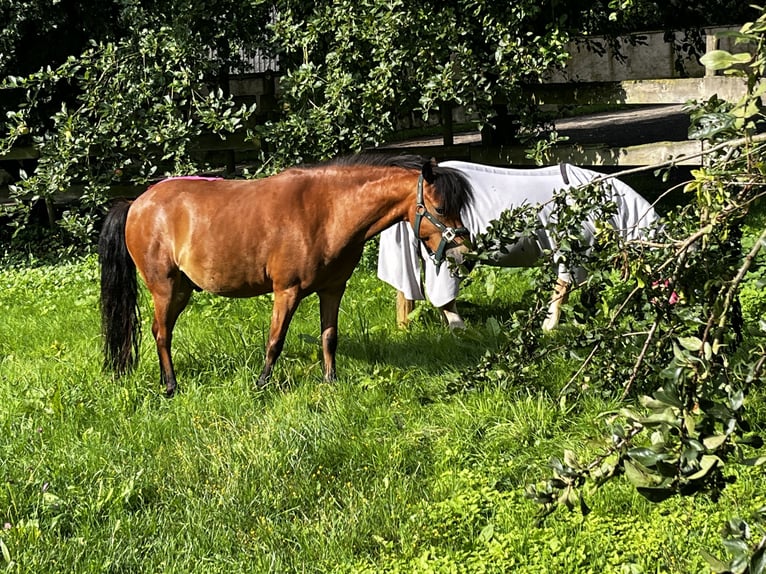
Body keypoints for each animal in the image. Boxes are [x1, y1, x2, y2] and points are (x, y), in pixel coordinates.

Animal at [99, 154, 473, 396]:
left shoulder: (333, 289)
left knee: (161, 331)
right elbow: (275, 340)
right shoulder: (287, 291)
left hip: (182, 289)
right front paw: (261, 385)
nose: (464, 257)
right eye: (440, 208)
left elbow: (329, 336)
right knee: (161, 333)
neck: (327, 211)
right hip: (164, 288)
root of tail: (136, 203)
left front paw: (330, 381)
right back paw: (171, 385)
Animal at [377, 161, 660, 330]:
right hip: (445, 257)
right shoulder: (573, 252)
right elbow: (562, 290)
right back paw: (460, 329)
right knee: (443, 297)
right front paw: (549, 328)